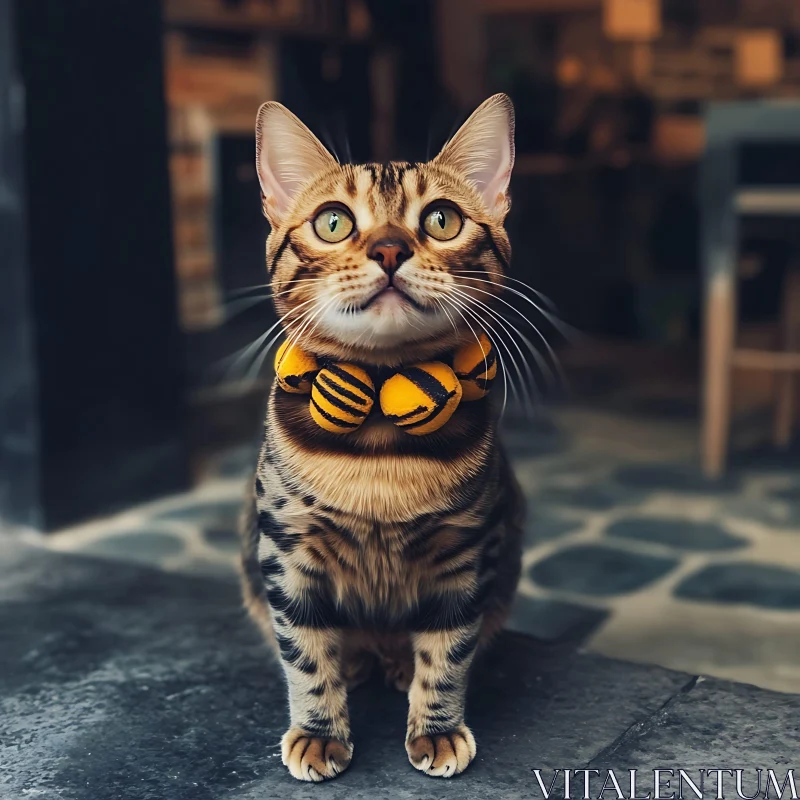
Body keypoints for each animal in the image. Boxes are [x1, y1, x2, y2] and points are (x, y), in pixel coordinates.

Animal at [238, 92, 524, 780]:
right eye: (333, 223)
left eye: (442, 220)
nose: (391, 249)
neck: (378, 449)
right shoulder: (286, 553)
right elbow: (306, 655)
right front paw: (319, 732)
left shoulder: (467, 555)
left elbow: (448, 653)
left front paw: (437, 729)